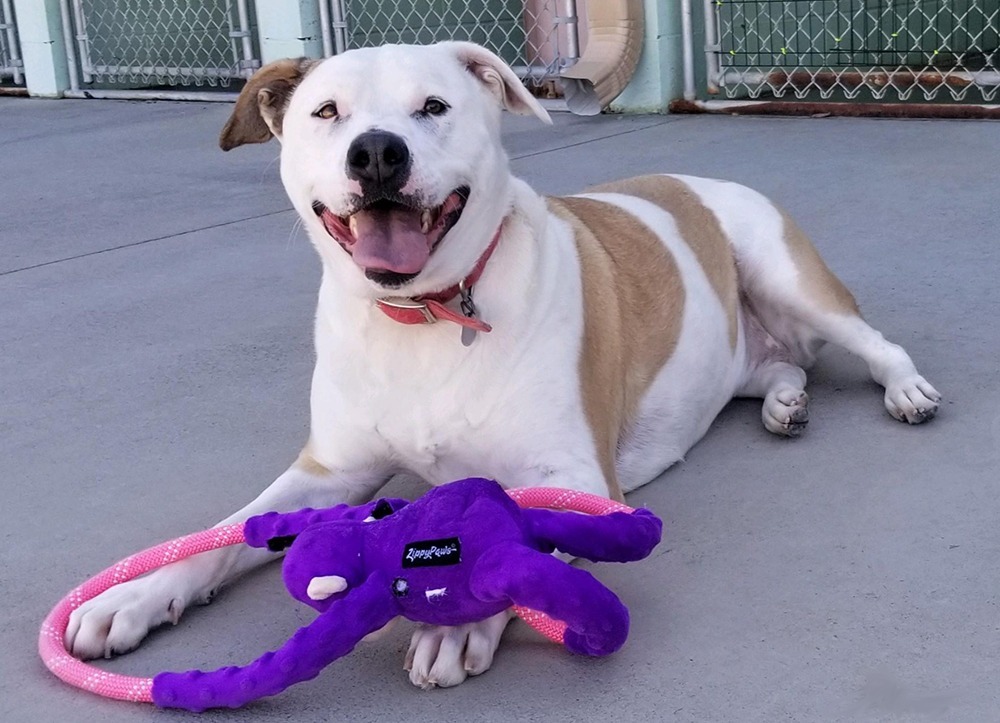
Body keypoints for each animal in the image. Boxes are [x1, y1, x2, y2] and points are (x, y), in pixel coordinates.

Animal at [66, 41, 940, 692]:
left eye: (433, 107)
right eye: (326, 112)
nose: (376, 152)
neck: (425, 318)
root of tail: (688, 179)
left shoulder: (578, 480)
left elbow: (515, 538)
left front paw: (458, 624)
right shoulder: (329, 470)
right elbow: (223, 533)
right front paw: (133, 595)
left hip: (784, 272)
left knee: (872, 343)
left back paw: (906, 389)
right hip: (741, 348)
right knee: (780, 367)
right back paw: (785, 405)